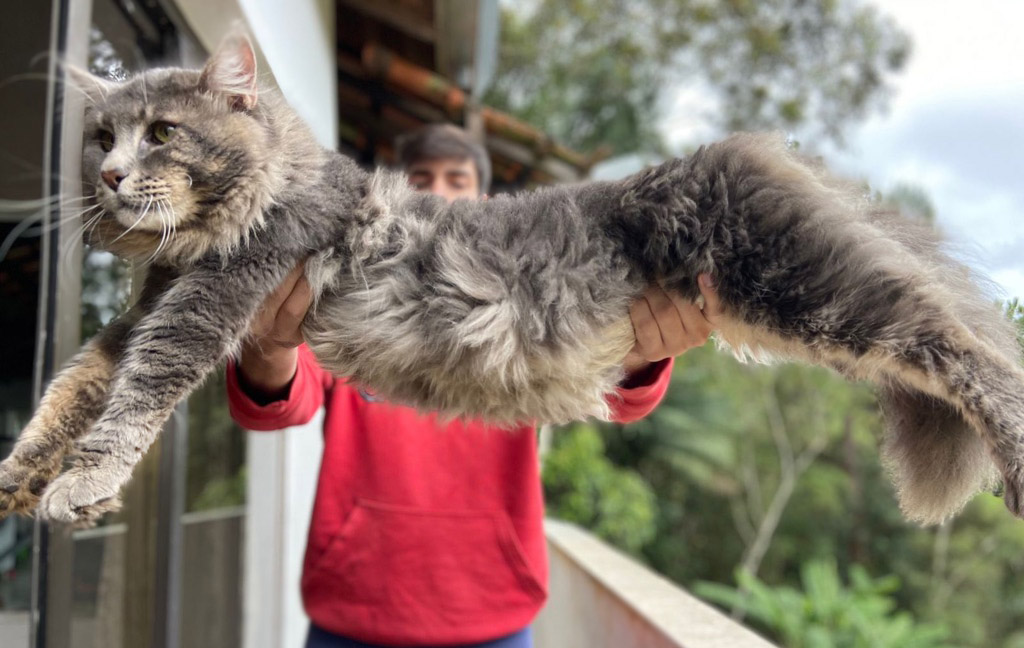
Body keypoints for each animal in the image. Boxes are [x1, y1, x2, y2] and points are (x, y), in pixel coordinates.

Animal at [0, 30, 1019, 528]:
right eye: (101, 137)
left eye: (162, 134)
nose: (108, 177)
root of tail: (748, 154)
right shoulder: (138, 317)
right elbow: (70, 388)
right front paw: (20, 474)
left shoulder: (215, 294)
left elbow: (136, 397)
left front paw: (80, 488)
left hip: (808, 291)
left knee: (970, 349)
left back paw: (1014, 458)